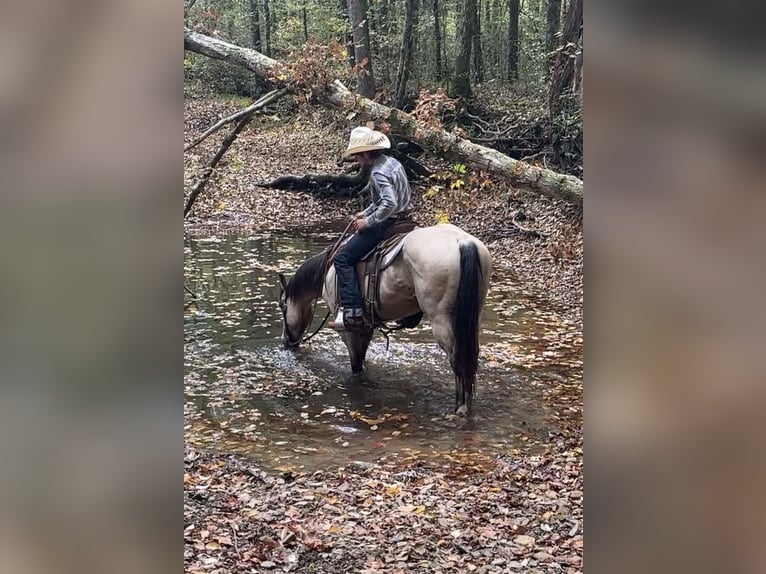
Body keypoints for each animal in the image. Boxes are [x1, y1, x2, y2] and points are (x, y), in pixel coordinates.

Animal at [278, 223, 492, 415]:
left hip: (441, 319)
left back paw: (460, 408)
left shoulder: (348, 330)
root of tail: (462, 242)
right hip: (471, 317)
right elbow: (362, 358)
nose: (286, 341)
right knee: (470, 356)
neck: (327, 272)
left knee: (457, 358)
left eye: (282, 306)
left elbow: (356, 365)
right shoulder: (365, 326)